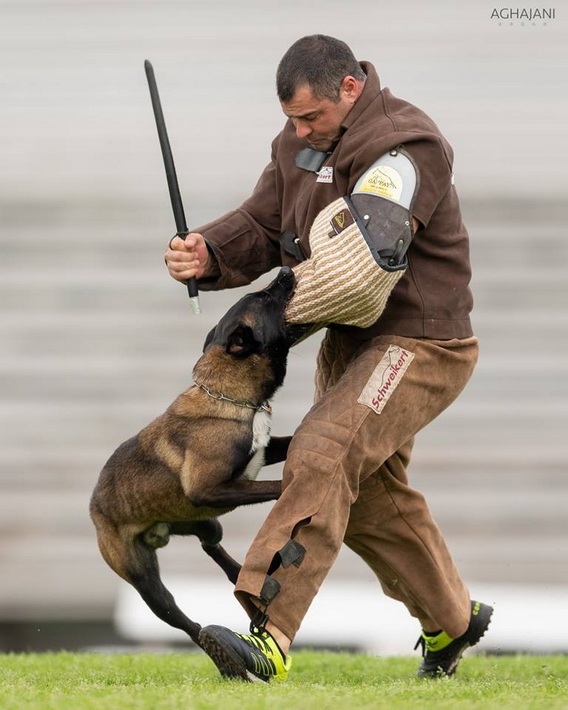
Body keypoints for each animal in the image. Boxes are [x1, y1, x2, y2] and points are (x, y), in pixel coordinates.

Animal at [90, 268, 298, 652]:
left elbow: (290, 445)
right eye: (263, 298)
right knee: (188, 624)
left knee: (212, 547)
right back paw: (213, 642)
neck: (229, 396)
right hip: (148, 584)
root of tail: (94, 504)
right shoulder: (208, 489)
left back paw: (243, 579)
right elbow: (270, 484)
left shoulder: (263, 452)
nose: (284, 270)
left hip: (203, 523)